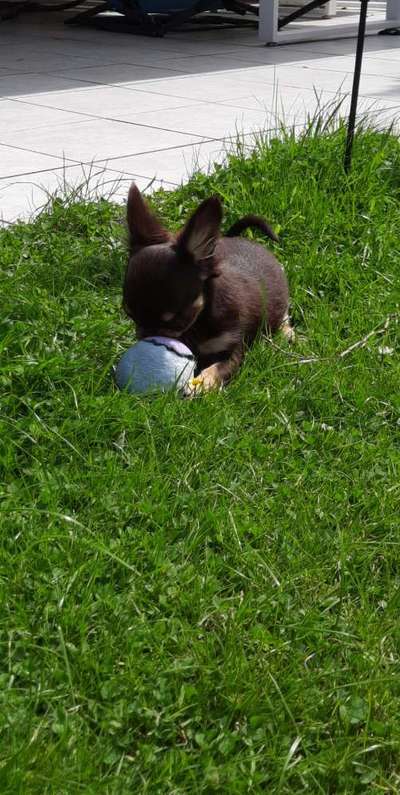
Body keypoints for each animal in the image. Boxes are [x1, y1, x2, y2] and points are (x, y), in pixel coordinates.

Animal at [123, 180, 292, 392]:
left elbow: (217, 368)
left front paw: (199, 384)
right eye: (129, 315)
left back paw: (286, 332)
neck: (198, 323)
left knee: (284, 313)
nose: (146, 337)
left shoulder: (234, 349)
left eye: (175, 319)